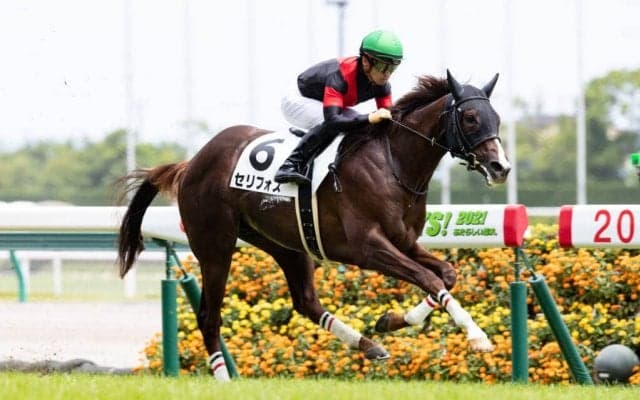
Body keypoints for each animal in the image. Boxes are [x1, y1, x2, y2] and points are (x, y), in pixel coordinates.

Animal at [117, 70, 511, 381]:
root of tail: (191, 164)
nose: (500, 167)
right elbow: (429, 278)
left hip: (284, 243)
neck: (393, 163)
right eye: (470, 117)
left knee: (305, 301)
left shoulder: (404, 241)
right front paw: (477, 336)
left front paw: (389, 320)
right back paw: (224, 379)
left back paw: (369, 344)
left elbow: (446, 275)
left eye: (496, 117)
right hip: (215, 247)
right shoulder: (368, 246)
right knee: (208, 316)